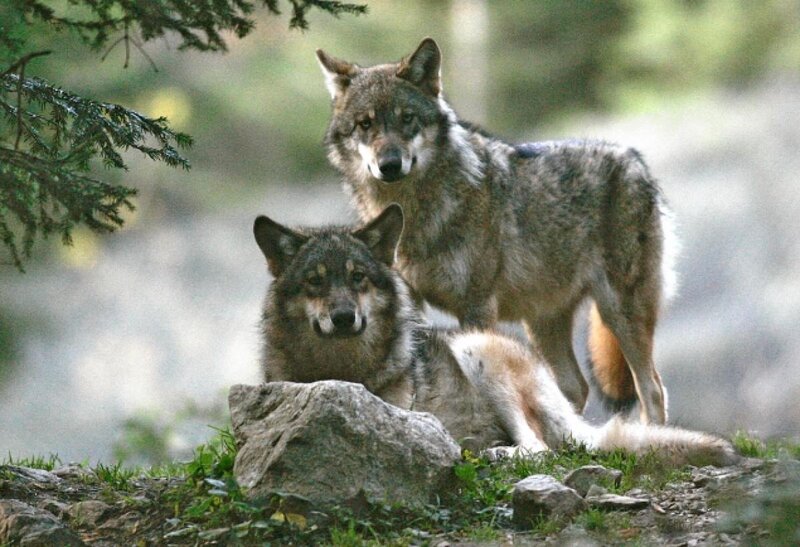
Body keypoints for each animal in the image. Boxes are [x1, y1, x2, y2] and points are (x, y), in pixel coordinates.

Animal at [252, 205, 737, 466]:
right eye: (314, 282)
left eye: (358, 279)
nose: (344, 318)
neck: (340, 369)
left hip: (478, 352)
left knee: (540, 450)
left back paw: (490, 454)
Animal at [315, 38, 678, 424]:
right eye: (364, 124)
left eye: (407, 118)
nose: (389, 165)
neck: (415, 213)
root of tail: (634, 158)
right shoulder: (411, 303)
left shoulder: (478, 305)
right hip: (543, 323)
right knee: (575, 387)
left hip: (619, 312)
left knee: (652, 388)